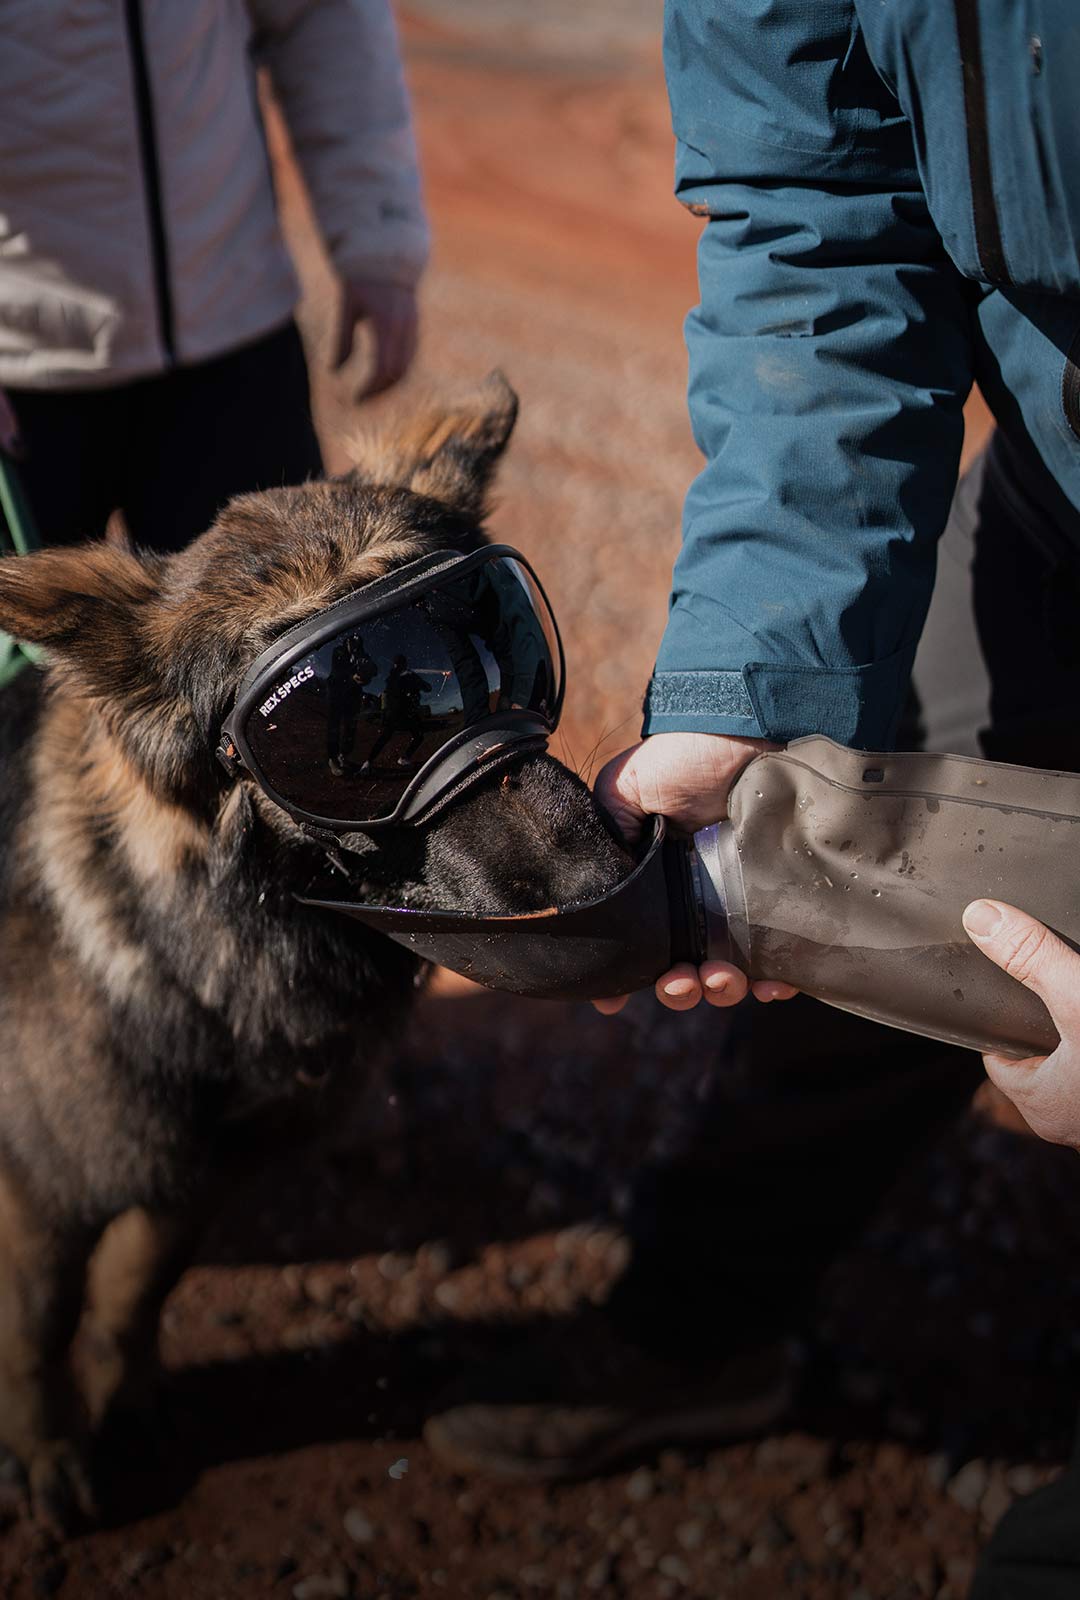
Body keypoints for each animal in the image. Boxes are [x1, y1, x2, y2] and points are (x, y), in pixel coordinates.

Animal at [0, 371, 624, 1523]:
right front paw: (44, 1446)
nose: (603, 886)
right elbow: (37, 1325)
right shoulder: (50, 1179)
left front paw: (124, 1395)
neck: (193, 950)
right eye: (325, 736)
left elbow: (134, 1287)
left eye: (498, 639)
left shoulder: (203, 1165)